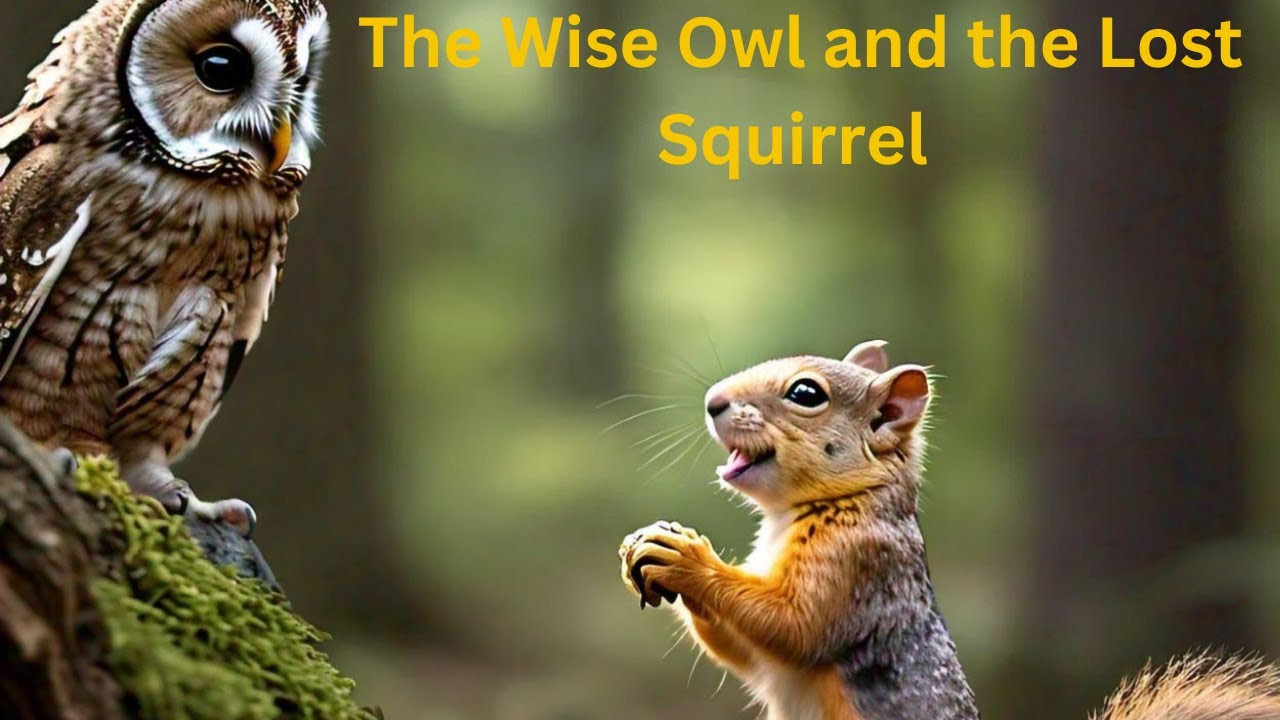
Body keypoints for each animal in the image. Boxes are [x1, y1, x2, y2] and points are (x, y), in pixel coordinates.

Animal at [618, 340, 1280, 720]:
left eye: (806, 393)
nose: (712, 400)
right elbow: (747, 654)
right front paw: (656, 545)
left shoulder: (862, 567)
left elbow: (796, 625)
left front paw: (688, 558)